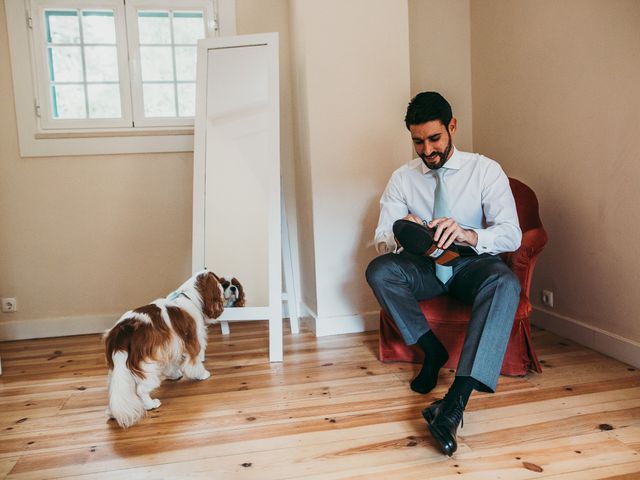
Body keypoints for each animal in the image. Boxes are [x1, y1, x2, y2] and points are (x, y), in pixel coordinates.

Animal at [102, 270, 242, 428]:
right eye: (222, 283)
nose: (230, 289)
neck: (189, 297)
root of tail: (121, 331)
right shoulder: (192, 339)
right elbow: (195, 360)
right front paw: (201, 374)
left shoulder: (169, 345)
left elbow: (171, 364)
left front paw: (174, 375)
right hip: (146, 365)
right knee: (141, 389)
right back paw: (151, 404)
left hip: (119, 368)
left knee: (116, 391)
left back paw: (112, 412)